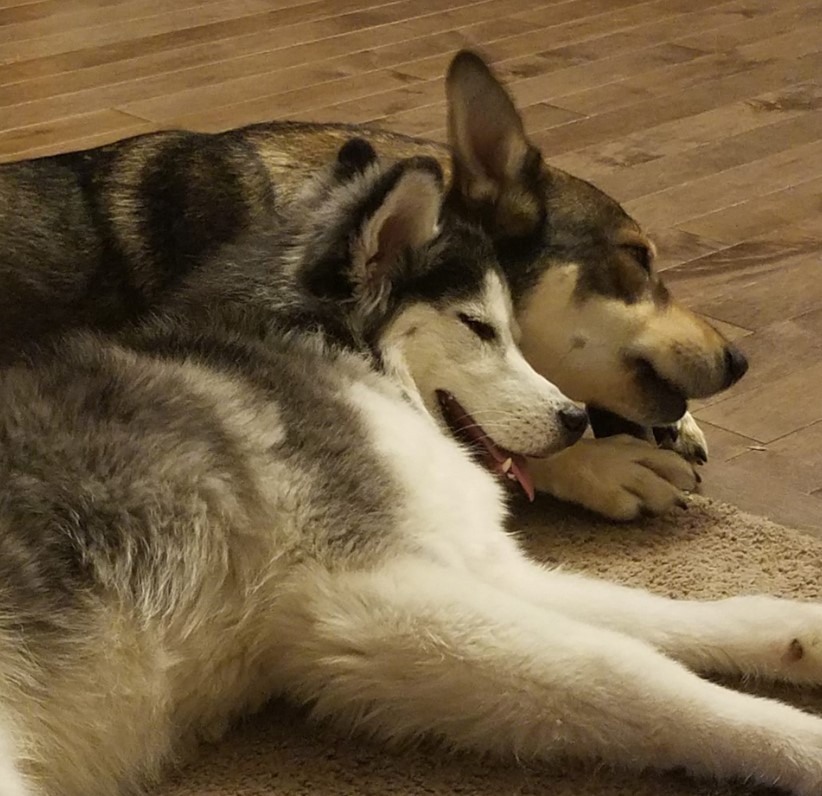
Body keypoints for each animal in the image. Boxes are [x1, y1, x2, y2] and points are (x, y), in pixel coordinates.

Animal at [1, 140, 822, 796]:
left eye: (513, 330)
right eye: (480, 328)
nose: (573, 421)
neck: (334, 354)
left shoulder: (471, 565)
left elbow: (664, 614)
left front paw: (799, 631)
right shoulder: (367, 599)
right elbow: (631, 673)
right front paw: (798, 744)